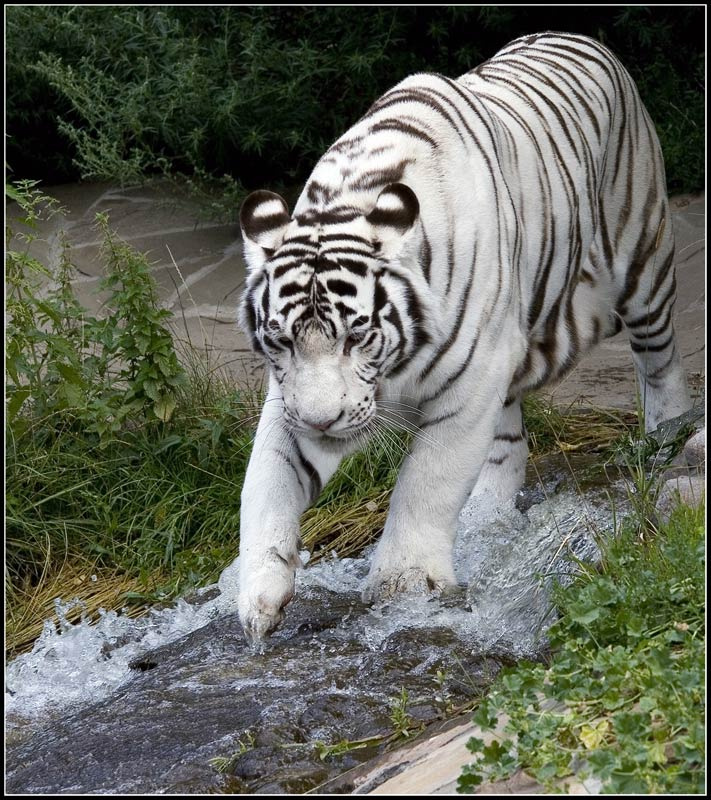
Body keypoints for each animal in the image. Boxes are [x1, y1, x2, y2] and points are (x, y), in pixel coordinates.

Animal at [227, 32, 691, 642]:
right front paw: (258, 597)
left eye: (357, 335)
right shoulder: (289, 397)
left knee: (658, 358)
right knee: (506, 443)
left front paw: (402, 588)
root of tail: (579, 36)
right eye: (280, 341)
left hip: (641, 264)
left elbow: (427, 480)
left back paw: (669, 437)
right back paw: (487, 513)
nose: (322, 423)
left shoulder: (471, 378)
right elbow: (265, 483)